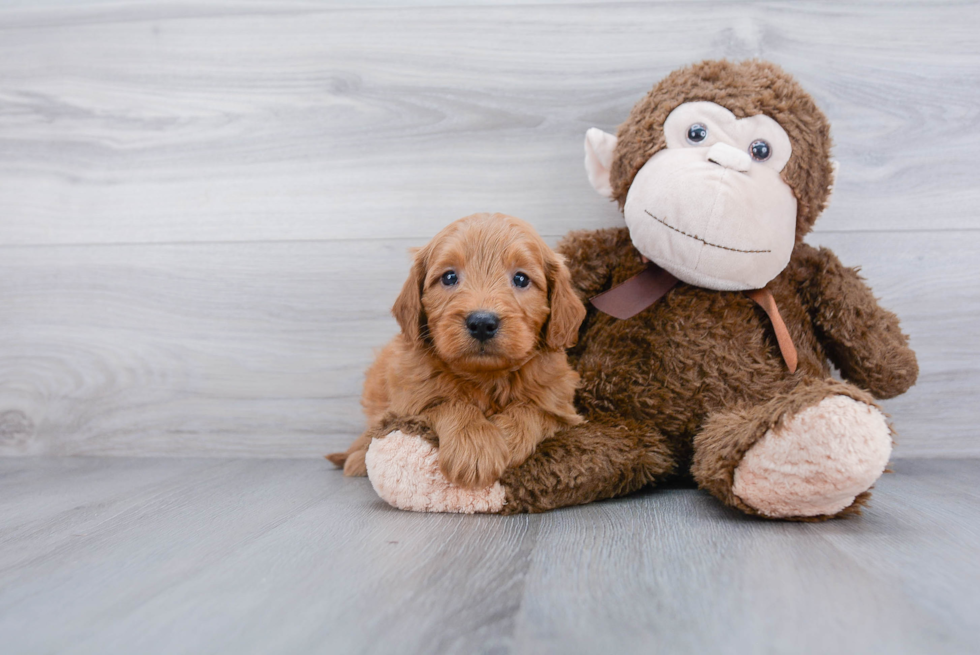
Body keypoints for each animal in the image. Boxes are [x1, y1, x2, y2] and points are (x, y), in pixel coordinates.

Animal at [330, 213, 588, 490]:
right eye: (449, 277)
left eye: (521, 279)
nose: (482, 323)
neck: (487, 376)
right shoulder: (411, 403)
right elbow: (449, 403)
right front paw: (476, 447)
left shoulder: (560, 405)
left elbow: (532, 409)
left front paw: (506, 438)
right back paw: (357, 459)